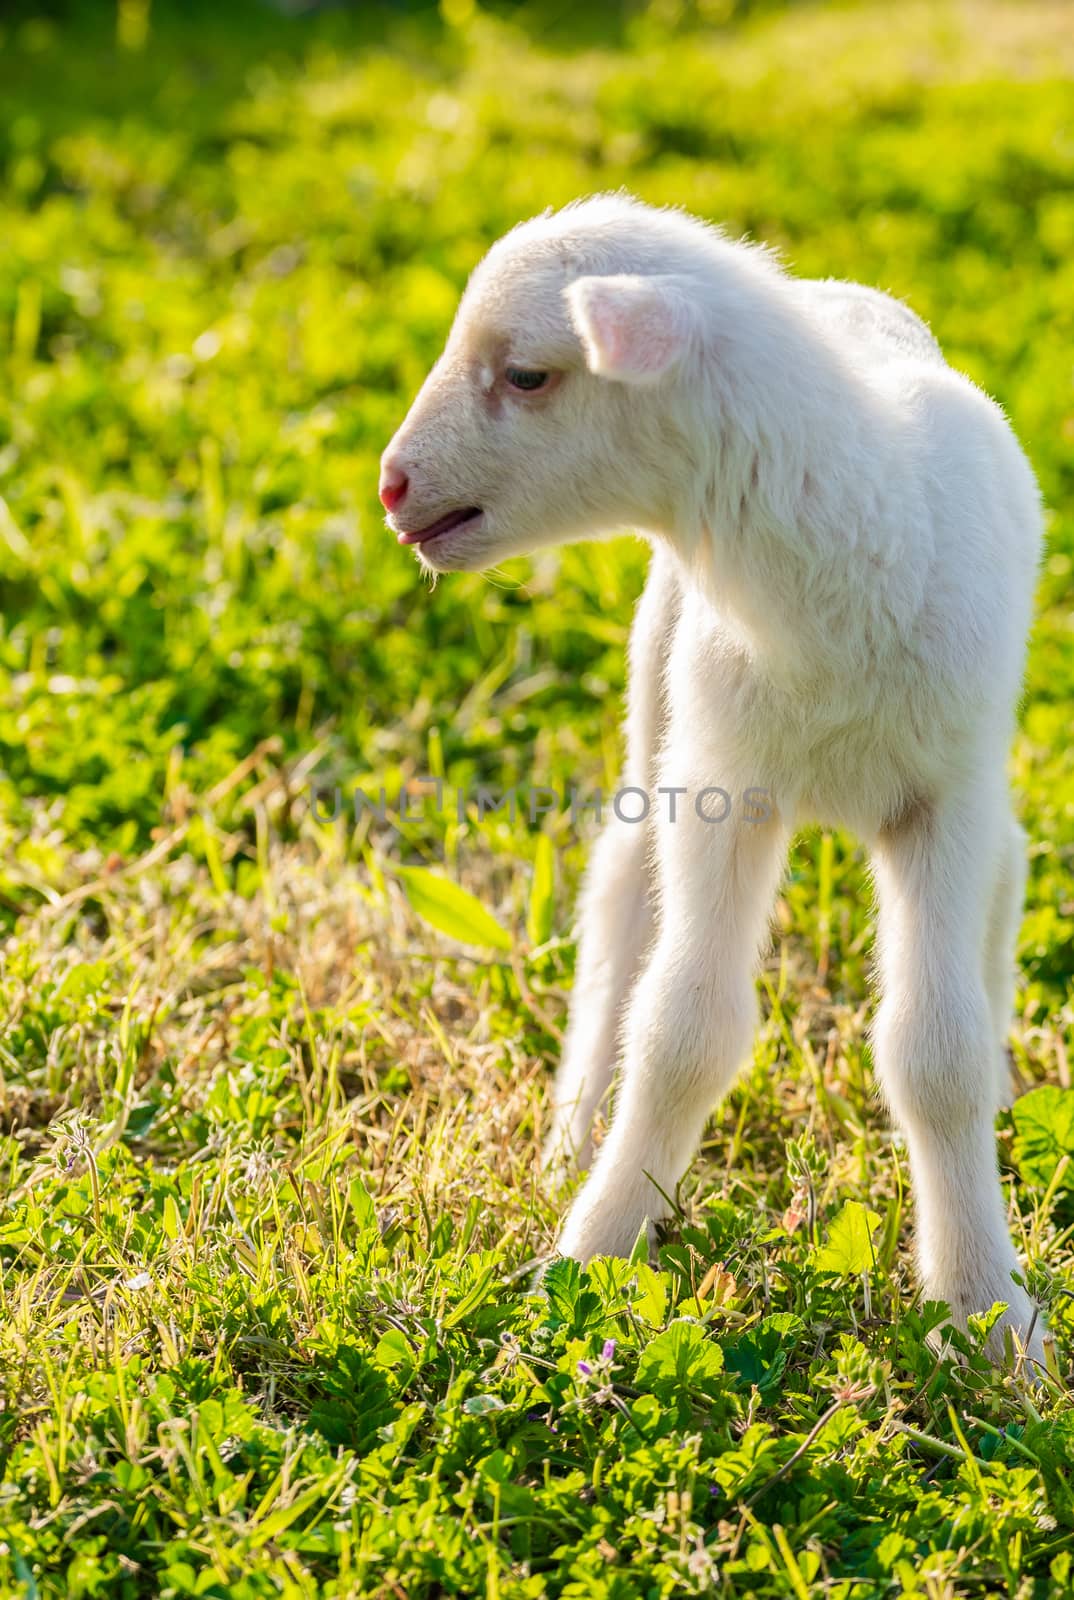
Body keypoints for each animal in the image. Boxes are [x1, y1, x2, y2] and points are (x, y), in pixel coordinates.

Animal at [380, 193, 1049, 1369]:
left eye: (528, 375)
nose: (392, 485)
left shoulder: (945, 797)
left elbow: (938, 1054)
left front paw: (986, 1316)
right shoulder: (723, 787)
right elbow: (683, 1031)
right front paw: (587, 1260)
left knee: (1011, 868)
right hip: (660, 681)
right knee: (620, 885)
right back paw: (575, 1135)